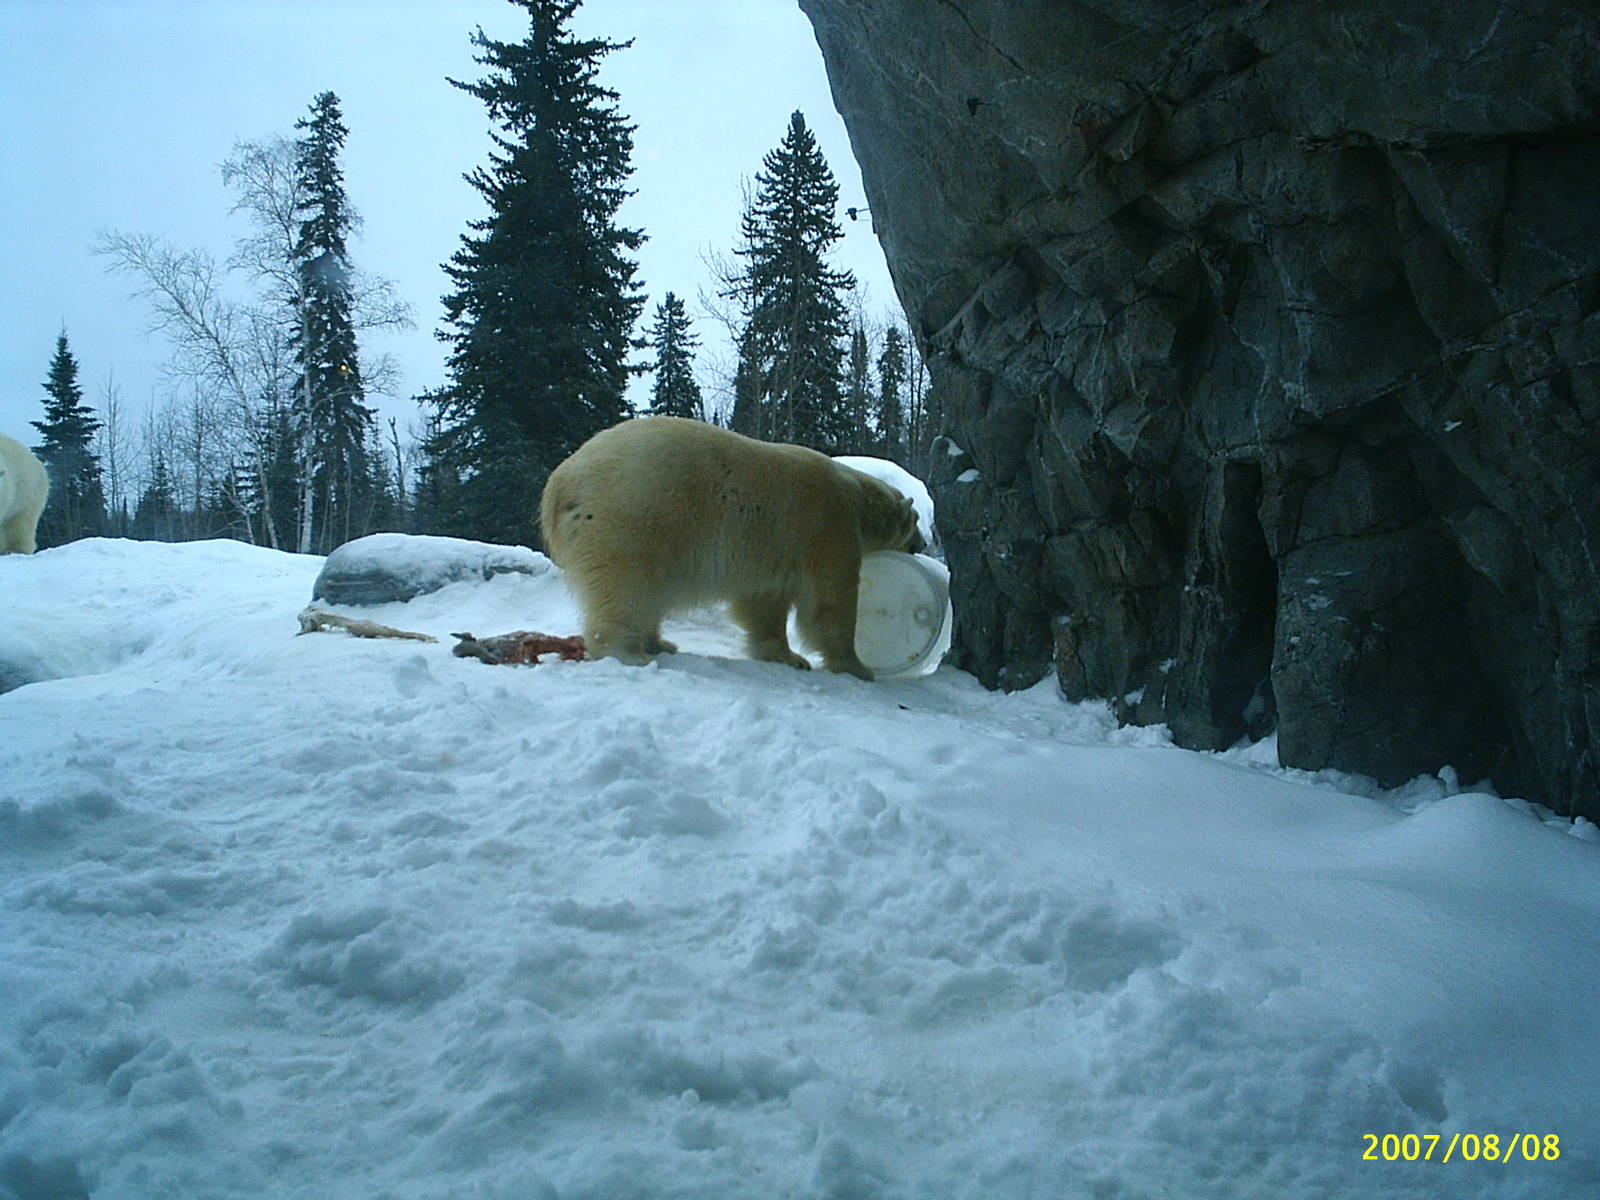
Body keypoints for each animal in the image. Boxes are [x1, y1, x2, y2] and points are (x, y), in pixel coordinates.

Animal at [540, 416, 923, 680]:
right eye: (917, 520)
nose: (921, 544)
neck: (857, 495)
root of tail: (560, 484)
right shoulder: (828, 528)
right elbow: (829, 603)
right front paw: (857, 666)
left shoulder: (776, 547)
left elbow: (764, 603)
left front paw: (787, 656)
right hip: (633, 514)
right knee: (626, 585)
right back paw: (630, 652)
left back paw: (659, 642)